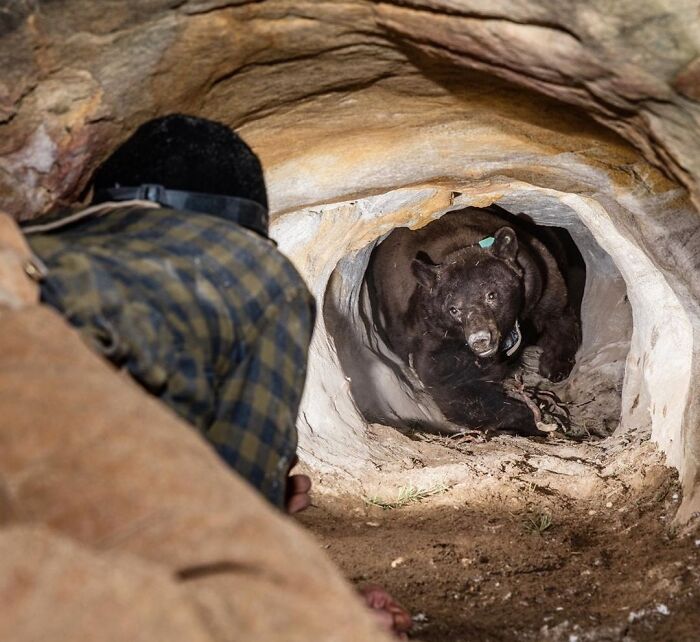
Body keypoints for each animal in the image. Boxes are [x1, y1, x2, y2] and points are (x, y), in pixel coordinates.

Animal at [368, 206, 581, 436]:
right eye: (453, 309)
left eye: (491, 295)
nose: (480, 339)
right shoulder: (434, 335)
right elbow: (455, 387)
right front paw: (538, 418)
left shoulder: (538, 279)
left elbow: (558, 314)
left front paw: (555, 367)